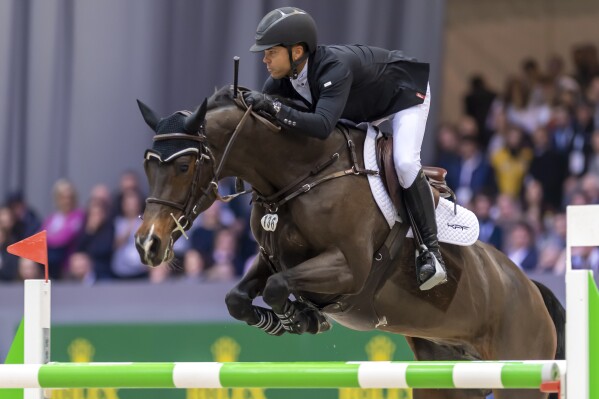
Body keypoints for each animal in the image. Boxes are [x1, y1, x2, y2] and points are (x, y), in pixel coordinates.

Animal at [134, 87, 564, 399]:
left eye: (184, 166)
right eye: (148, 165)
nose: (147, 244)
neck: (302, 174)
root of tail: (530, 288)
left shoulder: (349, 268)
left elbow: (278, 286)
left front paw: (303, 317)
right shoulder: (271, 257)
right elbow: (238, 297)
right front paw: (281, 320)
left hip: (519, 373)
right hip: (443, 380)